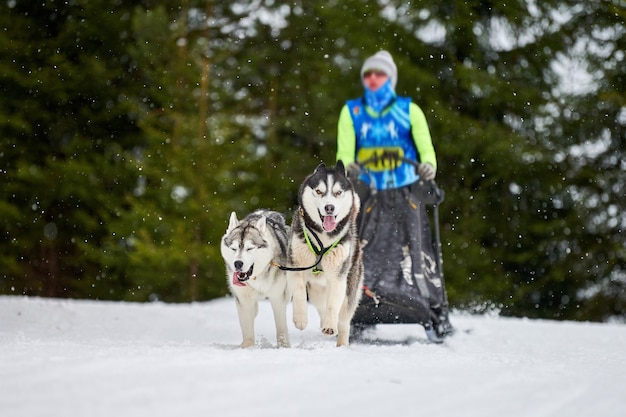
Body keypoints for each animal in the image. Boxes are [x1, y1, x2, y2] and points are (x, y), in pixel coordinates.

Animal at [219, 208, 290, 348]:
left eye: (250, 248)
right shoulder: (243, 299)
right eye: (234, 248)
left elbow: (281, 327)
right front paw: (246, 346)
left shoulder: (277, 298)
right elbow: (247, 327)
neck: (257, 277)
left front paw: (284, 347)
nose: (238, 263)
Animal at [286, 161, 360, 346]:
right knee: (321, 306)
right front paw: (300, 319)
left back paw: (340, 340)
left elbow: (333, 304)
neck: (323, 239)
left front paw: (330, 326)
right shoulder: (294, 266)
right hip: (317, 292)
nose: (329, 207)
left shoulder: (338, 276)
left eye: (338, 193)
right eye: (319, 191)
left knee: (343, 320)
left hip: (350, 287)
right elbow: (299, 291)